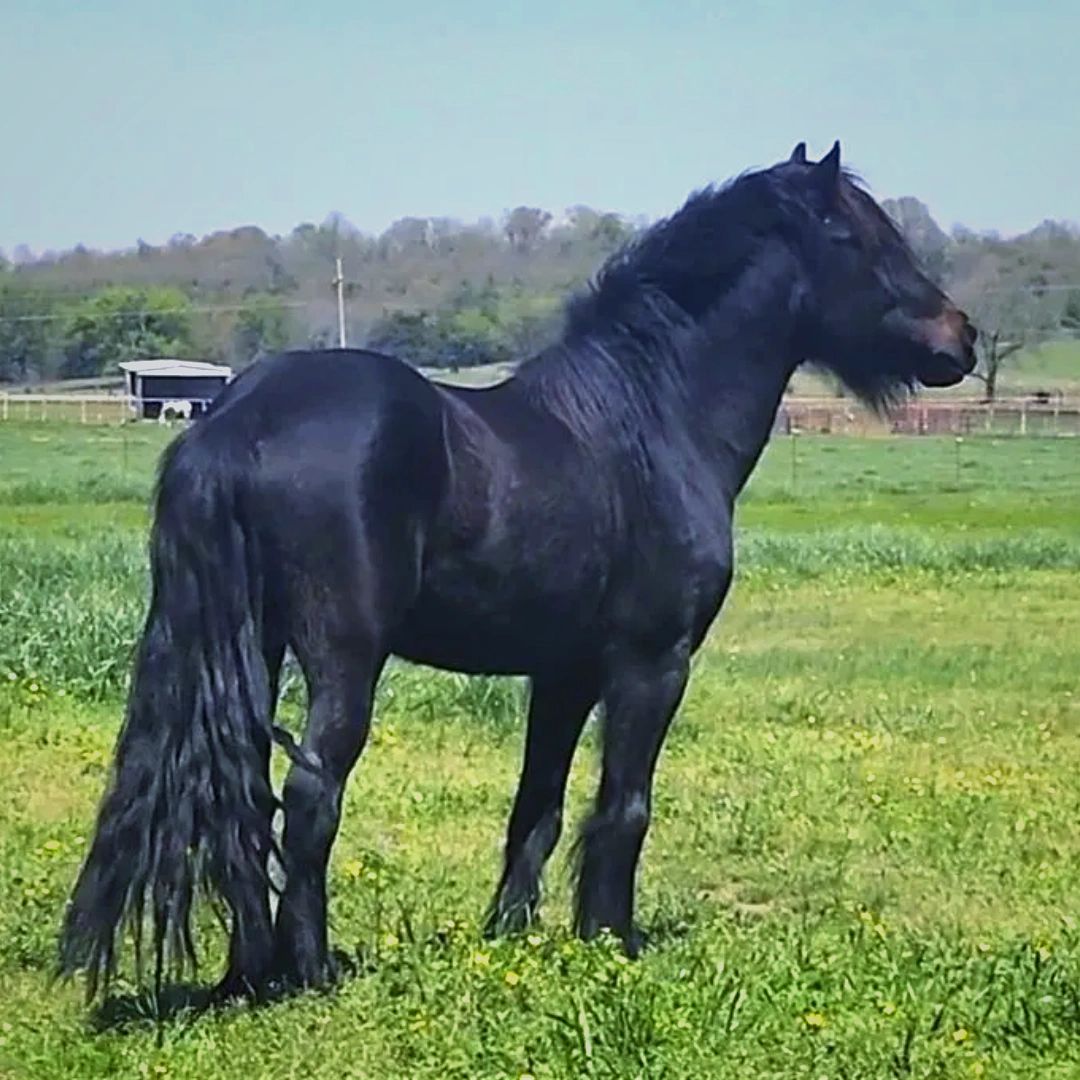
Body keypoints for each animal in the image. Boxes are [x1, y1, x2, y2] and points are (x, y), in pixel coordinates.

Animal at [59, 142, 976, 1002]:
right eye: (859, 238)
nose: (959, 337)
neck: (648, 423)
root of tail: (237, 419)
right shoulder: (652, 663)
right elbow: (625, 806)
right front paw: (611, 938)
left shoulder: (562, 673)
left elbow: (537, 806)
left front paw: (510, 934)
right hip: (342, 658)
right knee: (312, 796)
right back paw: (310, 969)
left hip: (255, 647)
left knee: (241, 791)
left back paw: (250, 973)